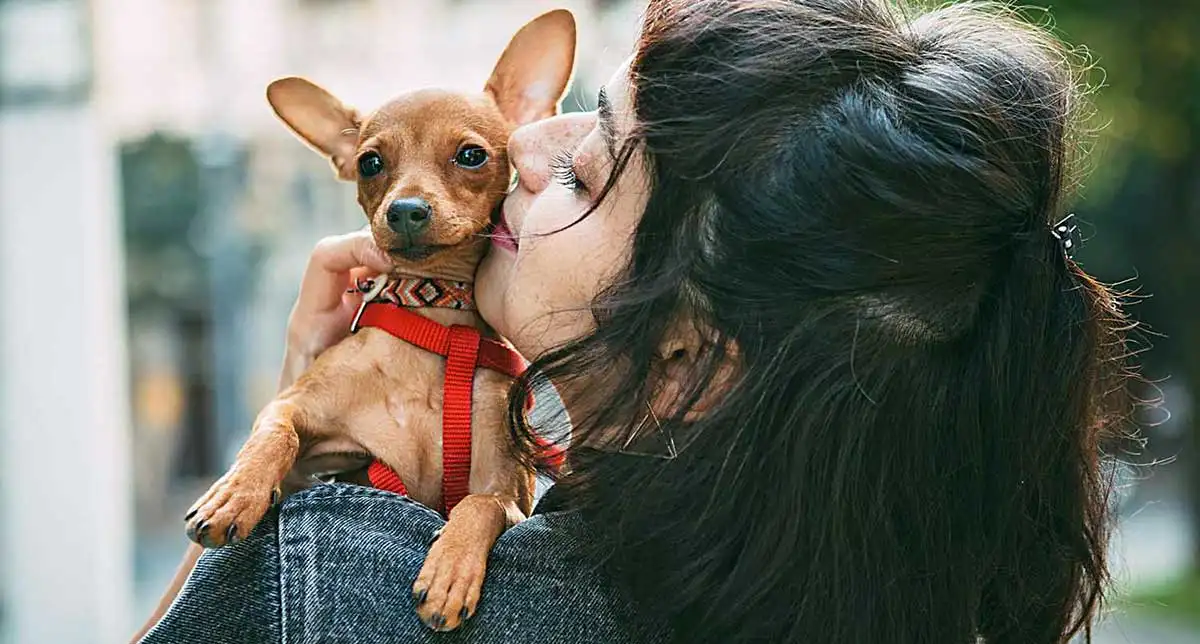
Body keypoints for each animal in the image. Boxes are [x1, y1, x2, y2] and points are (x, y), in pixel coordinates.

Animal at [170, 8, 576, 633]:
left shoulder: (511, 491)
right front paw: (235, 492)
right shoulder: (301, 415)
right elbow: (273, 433)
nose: (405, 210)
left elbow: (479, 504)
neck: (433, 326)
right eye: (370, 164)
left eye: (471, 156)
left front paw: (451, 570)